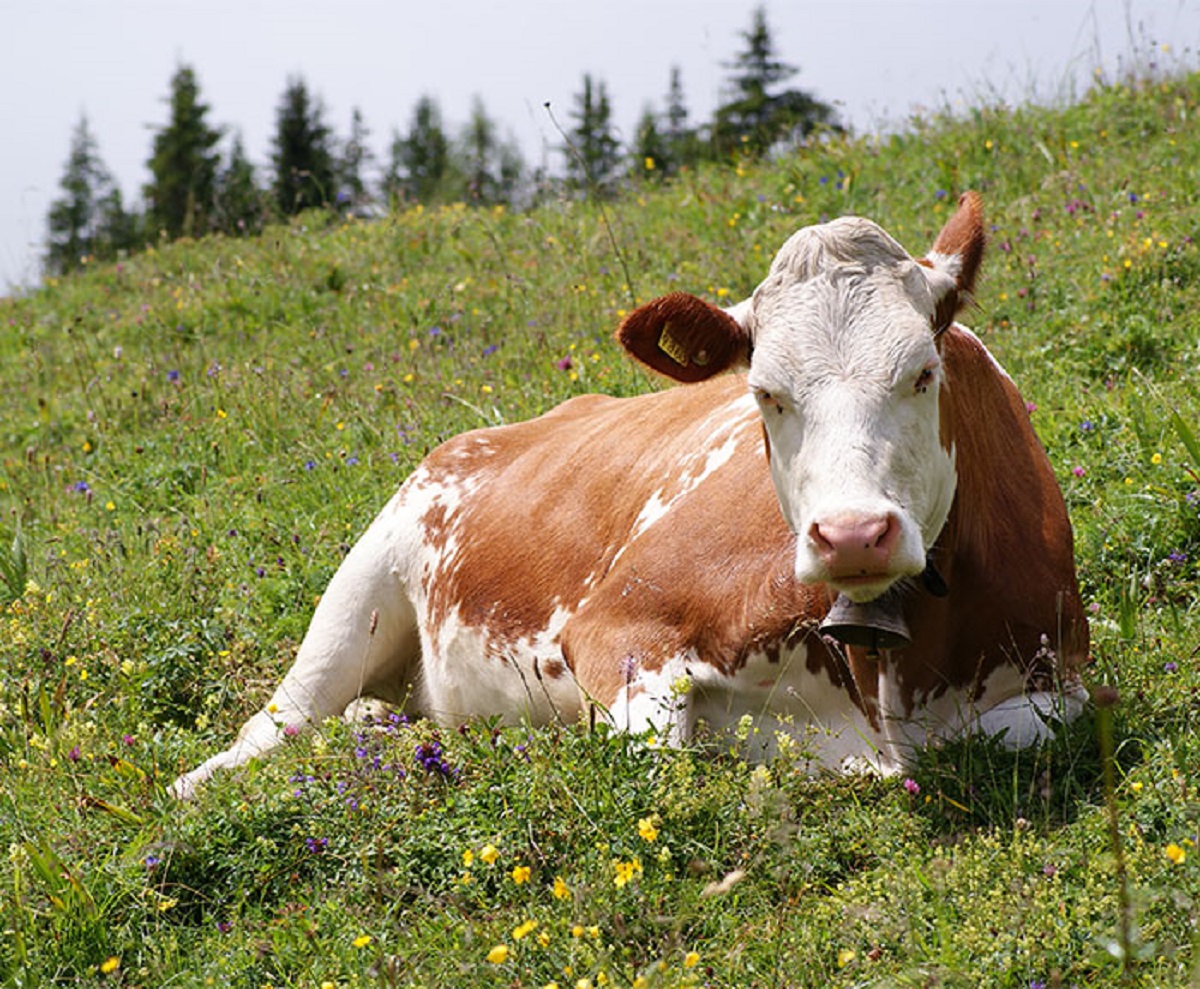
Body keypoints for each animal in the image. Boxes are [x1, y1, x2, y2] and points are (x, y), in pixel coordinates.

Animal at [174, 190, 1094, 796]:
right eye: (765, 392)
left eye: (923, 371)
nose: (853, 534)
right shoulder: (617, 626)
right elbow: (660, 757)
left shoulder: (1064, 679)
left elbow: (1026, 730)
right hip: (362, 587)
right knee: (276, 724)